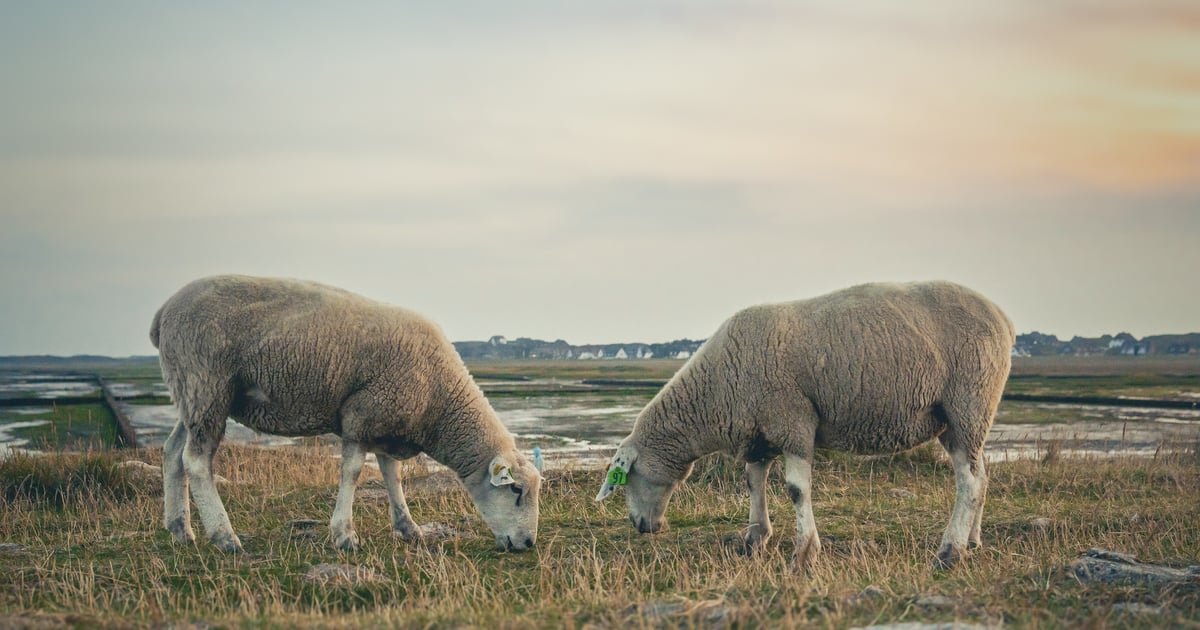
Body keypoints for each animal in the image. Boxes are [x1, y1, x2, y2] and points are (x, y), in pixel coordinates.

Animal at [150, 274, 540, 553]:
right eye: (516, 490)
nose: (527, 544)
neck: (438, 399)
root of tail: (163, 312)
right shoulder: (361, 416)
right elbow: (352, 472)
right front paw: (344, 536)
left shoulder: (387, 424)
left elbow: (393, 477)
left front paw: (408, 527)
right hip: (207, 382)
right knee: (196, 460)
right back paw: (224, 536)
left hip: (193, 393)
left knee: (173, 451)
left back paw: (180, 529)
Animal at [596, 281, 1014, 569]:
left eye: (628, 476)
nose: (641, 526)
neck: (715, 391)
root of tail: (1002, 317)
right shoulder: (760, 431)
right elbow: (753, 482)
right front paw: (755, 539)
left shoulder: (792, 420)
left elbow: (796, 490)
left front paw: (804, 553)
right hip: (961, 419)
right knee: (981, 474)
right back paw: (972, 541)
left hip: (968, 402)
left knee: (969, 482)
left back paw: (949, 552)